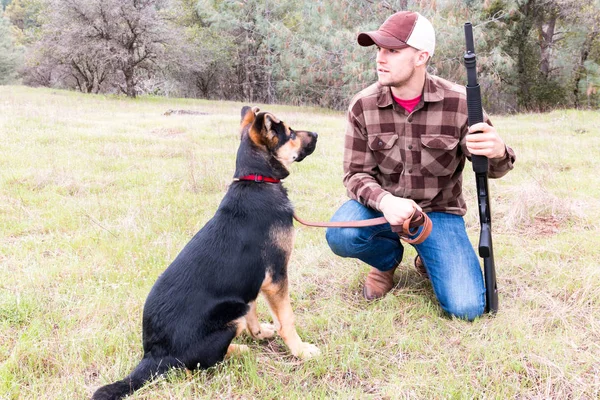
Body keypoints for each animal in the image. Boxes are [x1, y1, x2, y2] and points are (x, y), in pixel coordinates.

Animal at [92, 106, 318, 400]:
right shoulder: (276, 276)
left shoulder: (253, 281)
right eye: (290, 133)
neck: (256, 179)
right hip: (227, 316)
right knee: (195, 365)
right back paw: (240, 350)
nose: (317, 134)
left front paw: (259, 332)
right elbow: (287, 320)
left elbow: (254, 310)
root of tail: (153, 354)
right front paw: (301, 350)